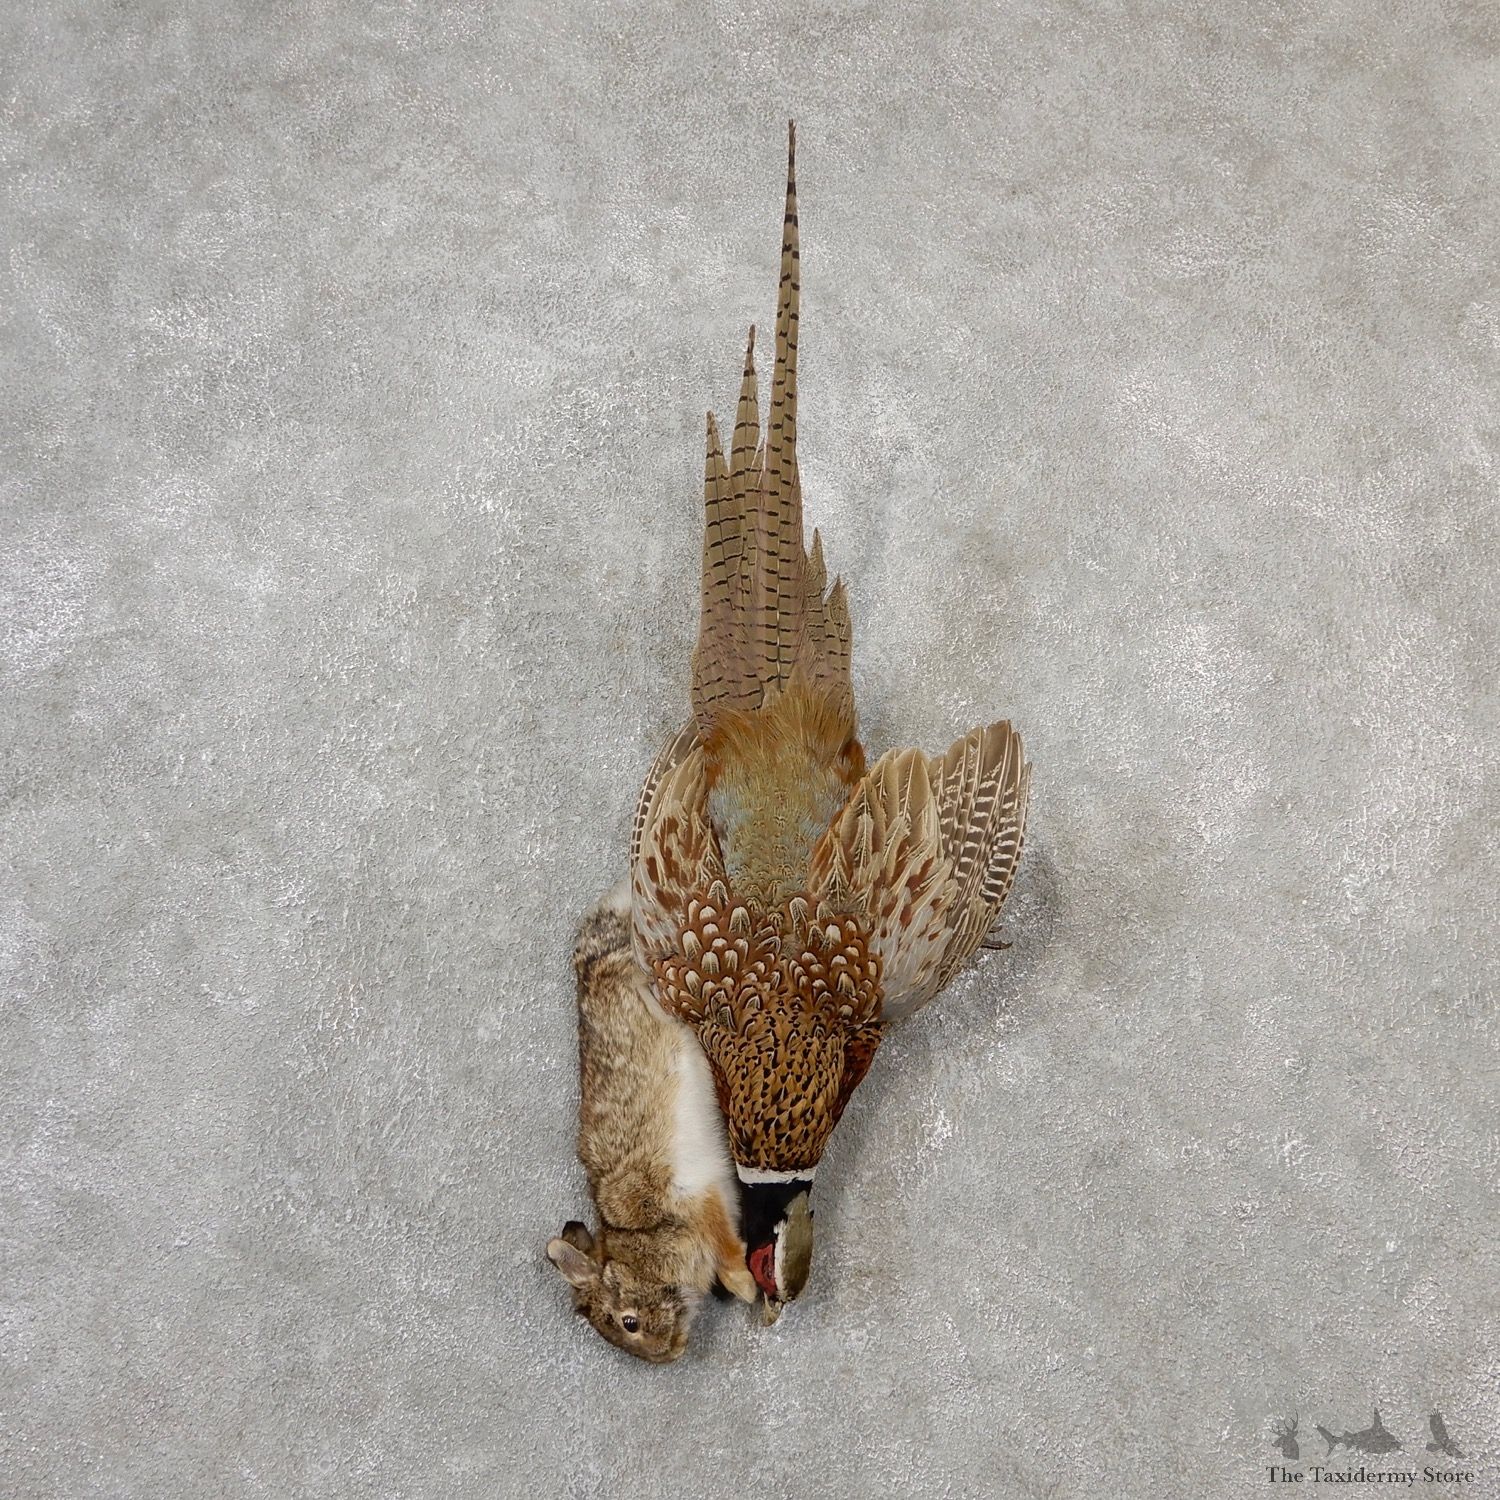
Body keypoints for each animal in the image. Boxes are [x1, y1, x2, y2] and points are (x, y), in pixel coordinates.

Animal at [547, 881, 757, 1362]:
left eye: (630, 1323)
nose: (669, 1355)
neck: (642, 1240)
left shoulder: (693, 1197)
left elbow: (727, 1251)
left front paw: (747, 1288)